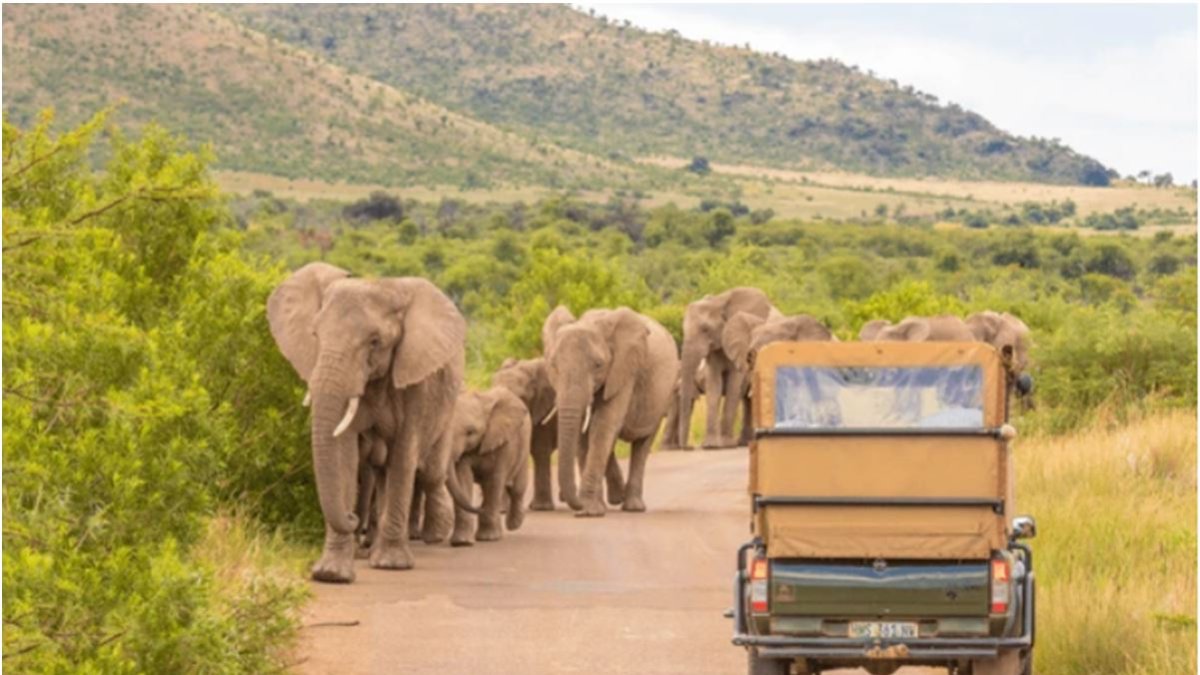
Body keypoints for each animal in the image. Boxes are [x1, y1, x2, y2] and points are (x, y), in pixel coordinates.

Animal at [267, 260, 468, 581]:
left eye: (375, 342)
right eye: (315, 335)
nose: (351, 517)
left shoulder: (415, 379)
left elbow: (404, 455)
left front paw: (391, 565)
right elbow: (346, 456)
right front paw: (332, 574)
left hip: (448, 408)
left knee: (430, 473)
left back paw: (433, 536)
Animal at [446, 386, 530, 542]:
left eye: (470, 432)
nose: (479, 509)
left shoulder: (504, 442)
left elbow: (494, 480)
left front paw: (488, 538)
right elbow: (462, 478)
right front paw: (462, 542)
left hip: (525, 443)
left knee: (516, 488)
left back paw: (513, 525)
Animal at [542, 305, 681, 514]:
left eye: (598, 365)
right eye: (553, 365)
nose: (574, 502)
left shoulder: (624, 371)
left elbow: (603, 425)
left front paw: (588, 511)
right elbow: (585, 434)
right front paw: (591, 509)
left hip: (664, 394)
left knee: (642, 444)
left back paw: (632, 506)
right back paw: (618, 497)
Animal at [681, 283, 782, 446]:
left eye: (705, 329)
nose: (686, 447)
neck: (718, 301)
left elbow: (733, 385)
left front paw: (726, 443)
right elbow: (714, 386)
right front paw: (711, 446)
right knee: (748, 400)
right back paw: (744, 442)